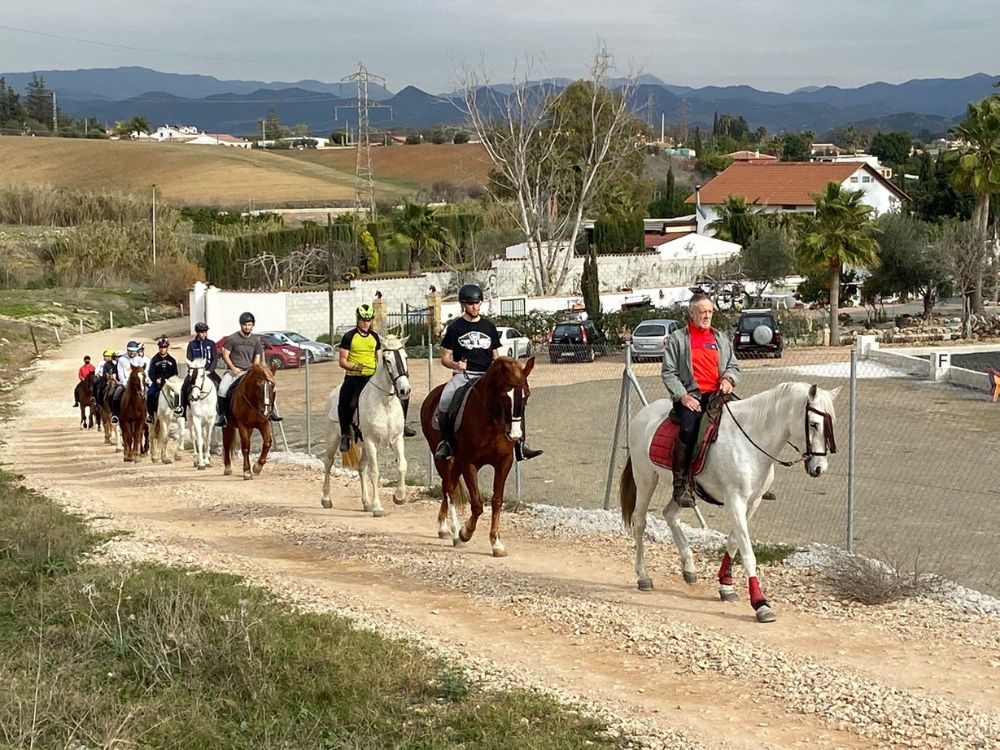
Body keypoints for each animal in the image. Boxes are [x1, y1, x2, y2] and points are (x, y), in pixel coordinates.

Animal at [322, 340, 412, 520]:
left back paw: (366, 503)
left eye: (405, 357)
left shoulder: (397, 439)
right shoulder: (371, 442)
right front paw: (378, 508)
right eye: (388, 360)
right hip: (334, 438)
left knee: (361, 467)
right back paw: (326, 499)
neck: (385, 403)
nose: (404, 391)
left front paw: (399, 497)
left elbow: (402, 465)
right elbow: (375, 472)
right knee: (328, 462)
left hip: (362, 444)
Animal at [418, 356, 536, 560]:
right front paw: (465, 532)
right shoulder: (469, 463)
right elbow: (478, 504)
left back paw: (444, 527)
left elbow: (497, 501)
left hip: (457, 462)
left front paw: (496, 543)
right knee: (448, 488)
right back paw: (453, 531)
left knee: (449, 485)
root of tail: (431, 396)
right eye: (505, 397)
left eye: (526, 395)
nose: (514, 435)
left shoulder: (504, 462)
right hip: (441, 457)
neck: (492, 421)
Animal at [620, 384, 840, 624]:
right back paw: (643, 576)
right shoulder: (735, 501)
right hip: (645, 478)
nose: (819, 468)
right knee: (640, 521)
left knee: (670, 514)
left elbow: (735, 541)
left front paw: (726, 586)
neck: (750, 441)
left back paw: (689, 568)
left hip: (682, 491)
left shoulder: (752, 503)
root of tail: (642, 415)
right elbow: (747, 553)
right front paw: (760, 603)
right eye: (814, 424)